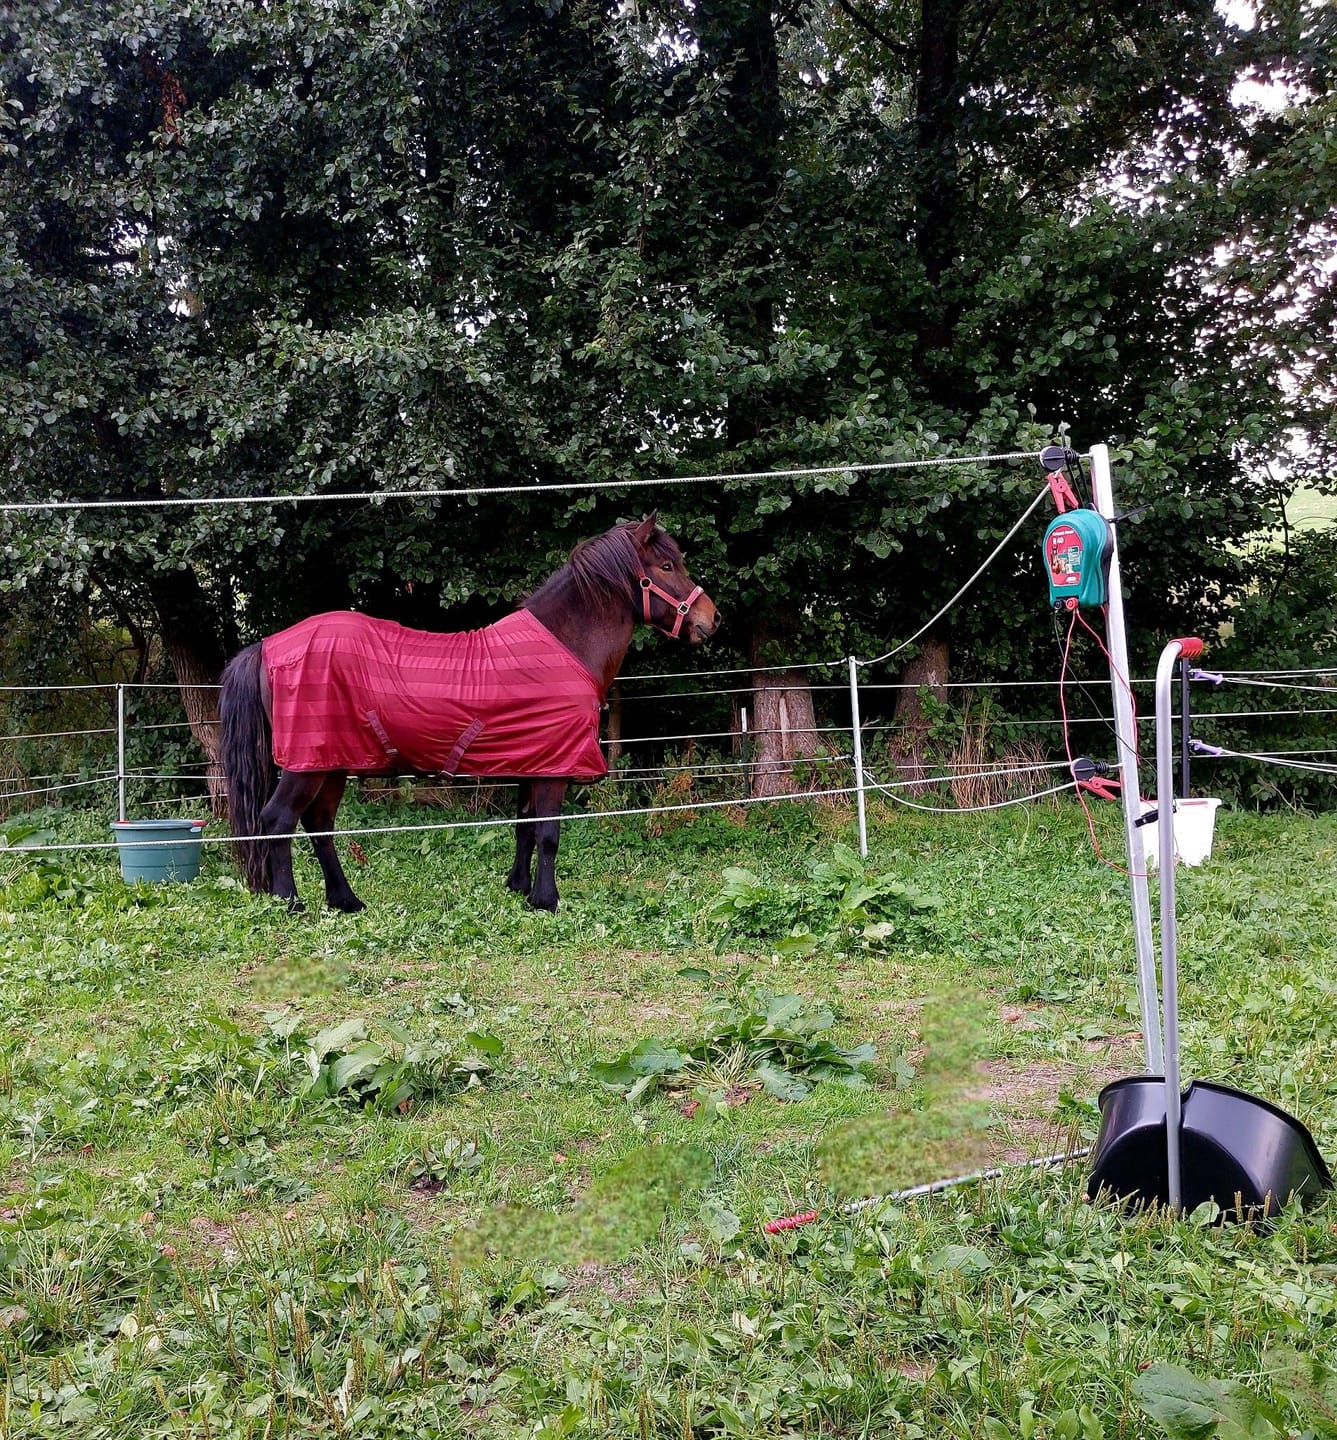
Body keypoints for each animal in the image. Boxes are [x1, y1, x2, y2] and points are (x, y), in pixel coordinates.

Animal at [217, 514, 718, 913]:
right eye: (666, 566)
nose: (711, 619)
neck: (563, 645)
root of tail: (269, 646)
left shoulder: (533, 761)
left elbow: (524, 828)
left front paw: (519, 888)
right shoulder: (553, 767)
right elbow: (548, 833)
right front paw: (547, 900)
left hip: (332, 762)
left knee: (320, 826)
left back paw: (346, 901)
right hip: (306, 764)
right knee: (278, 821)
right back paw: (290, 902)